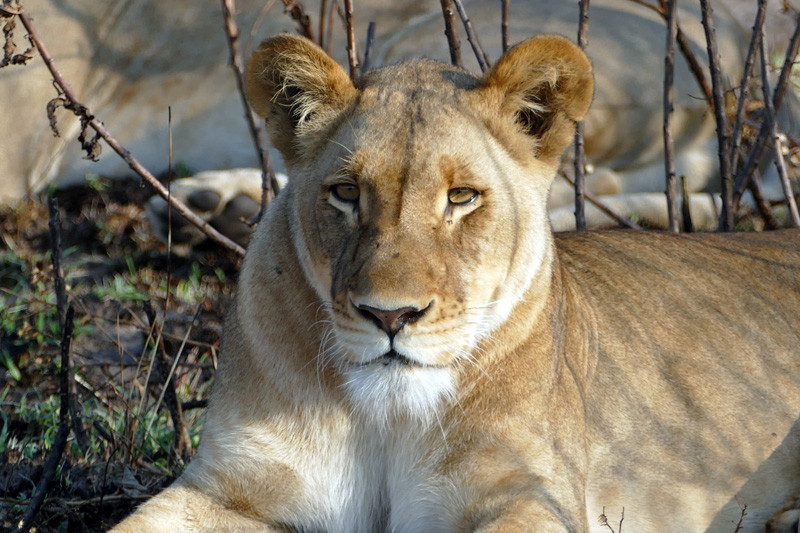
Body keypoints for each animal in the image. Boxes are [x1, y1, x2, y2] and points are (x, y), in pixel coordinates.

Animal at [111, 34, 800, 532]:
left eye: (462, 197)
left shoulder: (526, 495)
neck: (384, 416)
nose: (390, 316)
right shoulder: (230, 489)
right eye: (346, 193)